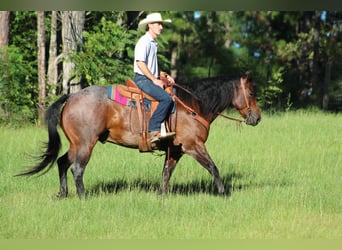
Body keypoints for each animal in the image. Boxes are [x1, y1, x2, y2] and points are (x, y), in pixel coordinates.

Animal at [16, 71, 262, 198]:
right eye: (251, 92)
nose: (257, 118)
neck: (194, 105)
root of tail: (71, 97)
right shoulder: (193, 145)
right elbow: (213, 167)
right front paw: (223, 193)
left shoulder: (176, 150)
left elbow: (166, 173)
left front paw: (162, 196)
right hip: (86, 144)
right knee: (77, 168)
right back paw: (83, 196)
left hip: (76, 144)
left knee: (61, 162)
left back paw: (63, 193)